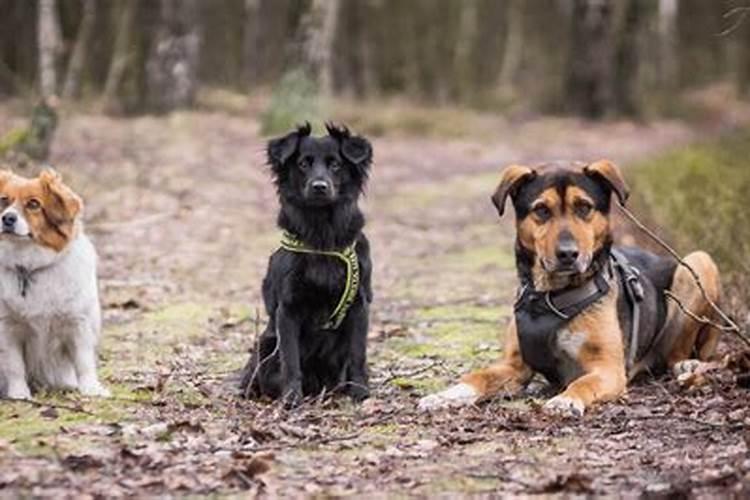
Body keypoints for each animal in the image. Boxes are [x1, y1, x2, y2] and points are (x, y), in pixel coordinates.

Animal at [0, 170, 108, 400]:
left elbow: (84, 361)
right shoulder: (8, 327)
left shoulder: (78, 324)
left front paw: (91, 388)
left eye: (33, 204)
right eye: (3, 200)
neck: (29, 267)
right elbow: (14, 365)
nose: (7, 218)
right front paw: (19, 393)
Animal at [238, 123, 374, 408]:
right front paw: (291, 397)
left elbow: (358, 353)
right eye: (302, 164)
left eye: (335, 165)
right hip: (265, 343)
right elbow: (290, 360)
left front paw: (359, 391)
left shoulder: (359, 304)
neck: (321, 235)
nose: (319, 186)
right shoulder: (288, 309)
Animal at [420, 161, 724, 418]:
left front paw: (566, 399)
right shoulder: (513, 366)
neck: (550, 299)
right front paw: (446, 394)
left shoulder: (607, 369)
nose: (568, 254)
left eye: (584, 207)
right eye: (541, 210)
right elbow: (478, 377)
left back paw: (687, 365)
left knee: (678, 352)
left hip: (699, 262)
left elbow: (582, 383)